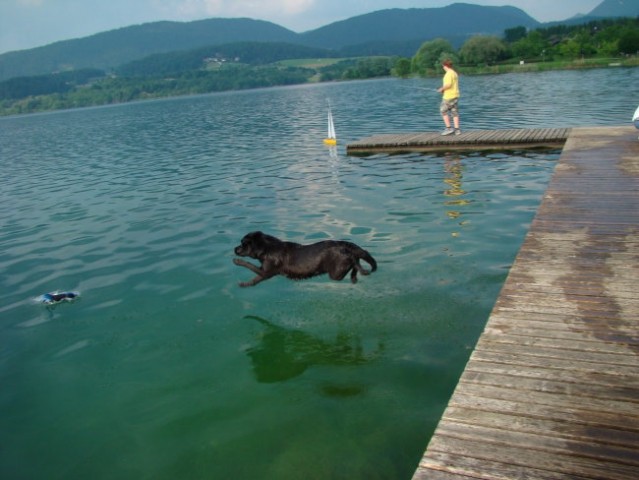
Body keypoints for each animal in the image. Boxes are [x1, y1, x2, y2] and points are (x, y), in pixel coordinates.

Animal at [234, 231, 376, 286]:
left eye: (243, 244)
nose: (234, 249)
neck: (267, 248)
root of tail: (342, 244)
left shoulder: (267, 271)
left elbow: (249, 265)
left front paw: (237, 261)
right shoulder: (264, 273)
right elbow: (254, 280)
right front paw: (244, 284)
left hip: (336, 273)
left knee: (354, 262)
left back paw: (359, 271)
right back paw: (354, 278)